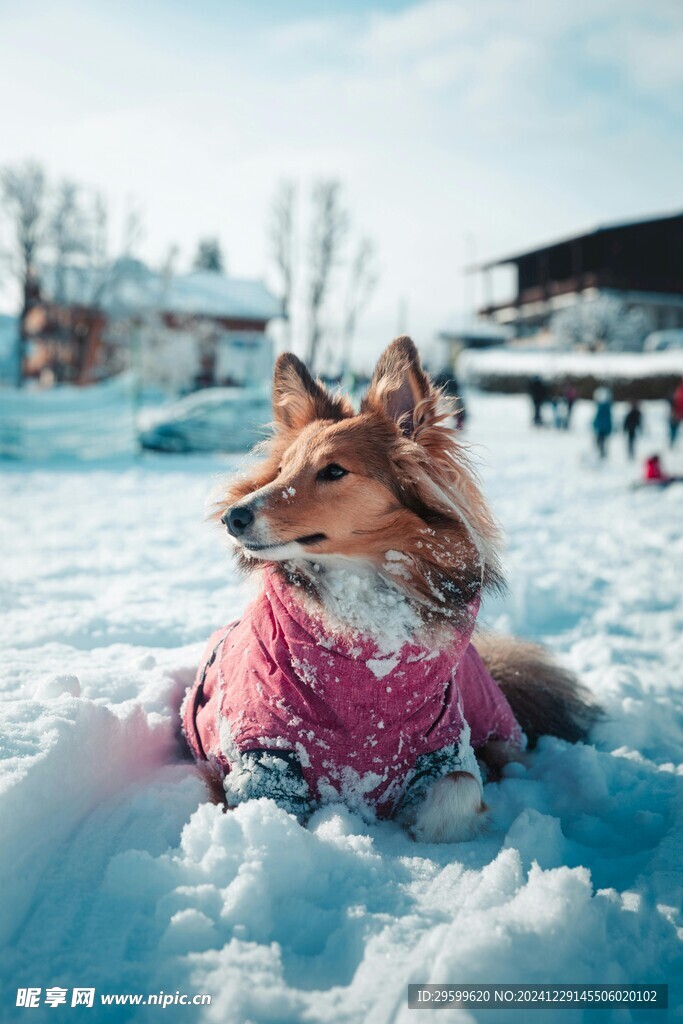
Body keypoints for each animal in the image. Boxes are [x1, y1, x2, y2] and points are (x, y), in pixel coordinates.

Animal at [183, 335, 598, 839]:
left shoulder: (445, 745)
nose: (233, 517)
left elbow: (460, 789)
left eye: (334, 471)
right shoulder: (261, 754)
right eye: (280, 470)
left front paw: (415, 832)